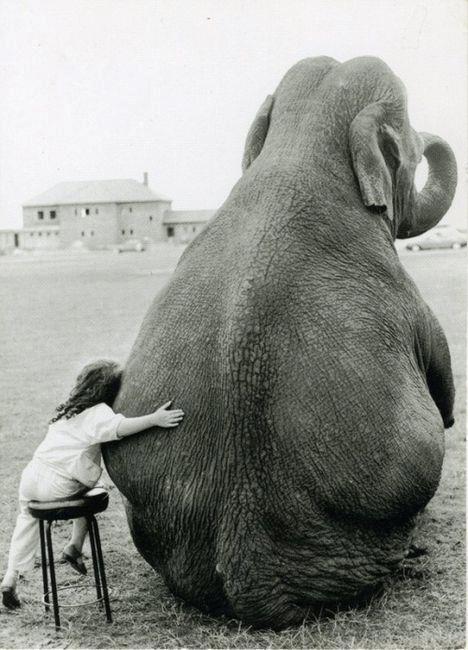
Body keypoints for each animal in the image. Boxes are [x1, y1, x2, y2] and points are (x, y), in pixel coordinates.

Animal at [103, 56, 457, 629]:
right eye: (406, 146)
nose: (431, 140)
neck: (301, 144)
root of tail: (251, 575)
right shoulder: (406, 294)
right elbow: (442, 384)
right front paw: (448, 414)